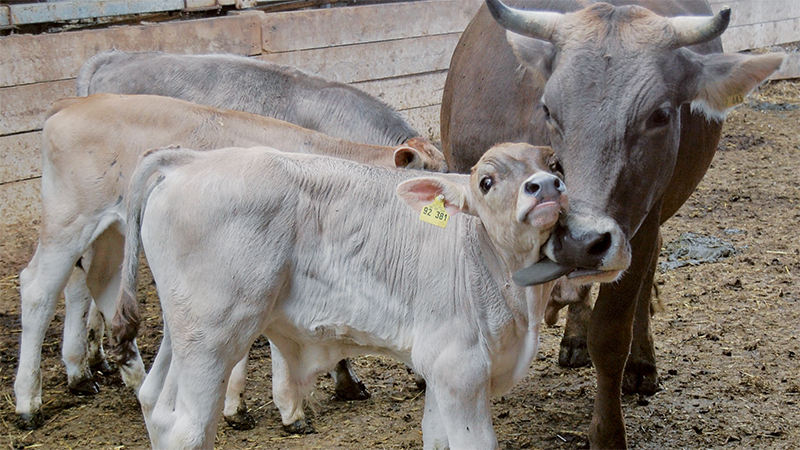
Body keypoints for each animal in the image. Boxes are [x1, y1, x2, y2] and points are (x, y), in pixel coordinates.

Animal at [12, 91, 446, 428]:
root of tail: (71, 104)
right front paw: (289, 409)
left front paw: (236, 405)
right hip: (68, 223)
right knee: (39, 291)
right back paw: (28, 402)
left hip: (111, 234)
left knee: (98, 287)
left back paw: (121, 377)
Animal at [109, 142, 608, 448]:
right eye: (486, 182)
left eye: (556, 165)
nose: (545, 186)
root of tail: (189, 160)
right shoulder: (460, 368)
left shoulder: (438, 370)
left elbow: (435, 438)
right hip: (214, 337)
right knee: (186, 430)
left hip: (184, 329)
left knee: (154, 401)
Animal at [440, 0, 784, 446]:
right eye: (548, 109)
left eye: (661, 115)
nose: (579, 239)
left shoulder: (638, 225)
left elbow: (609, 335)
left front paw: (607, 434)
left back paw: (641, 364)